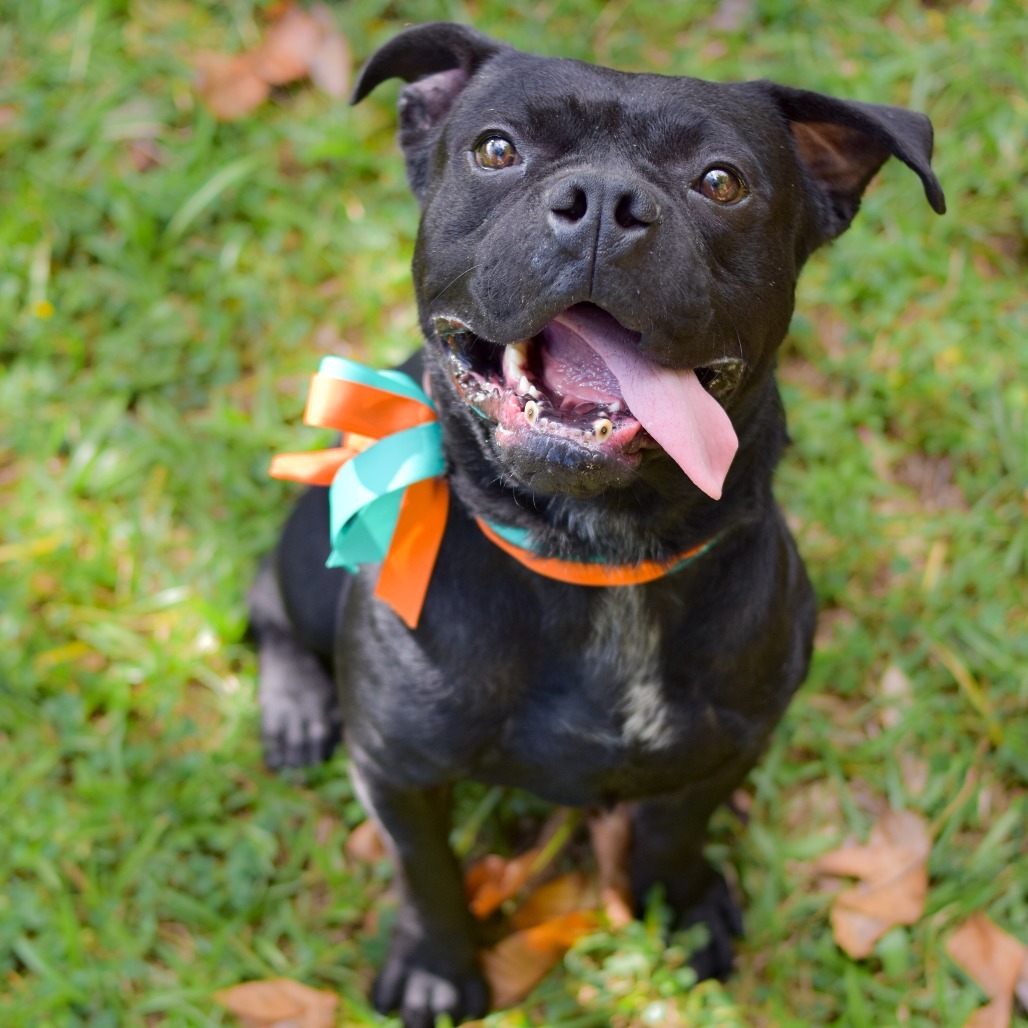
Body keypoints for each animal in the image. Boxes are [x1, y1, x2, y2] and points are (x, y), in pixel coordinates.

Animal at [246, 24, 941, 1028]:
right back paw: (297, 706)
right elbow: (428, 874)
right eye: (497, 150)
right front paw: (436, 968)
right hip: (311, 548)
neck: (598, 553)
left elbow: (673, 829)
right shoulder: (400, 771)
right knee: (268, 600)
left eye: (721, 182)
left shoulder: (729, 742)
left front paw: (679, 905)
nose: (604, 203)